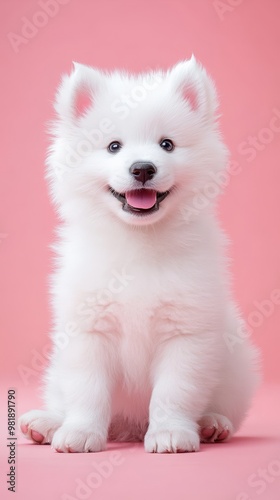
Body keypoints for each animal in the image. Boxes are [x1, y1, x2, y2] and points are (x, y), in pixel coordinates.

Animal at [20, 58, 260, 454]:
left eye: (167, 144)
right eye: (114, 146)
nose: (143, 168)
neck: (138, 239)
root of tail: (128, 428)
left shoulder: (186, 333)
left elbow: (174, 391)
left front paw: (170, 433)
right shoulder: (88, 330)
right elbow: (87, 390)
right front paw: (81, 433)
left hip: (237, 368)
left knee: (222, 407)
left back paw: (212, 424)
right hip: (56, 370)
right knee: (63, 398)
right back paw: (46, 424)